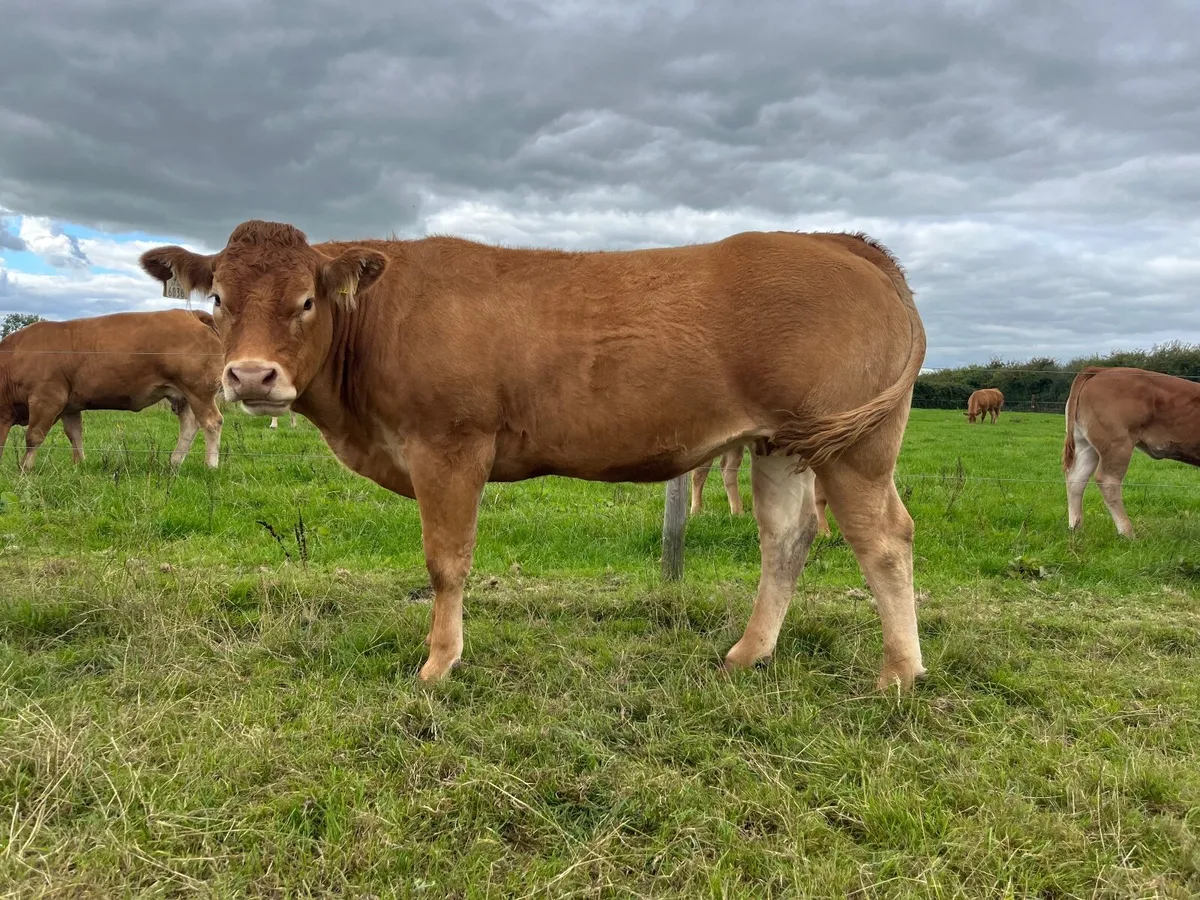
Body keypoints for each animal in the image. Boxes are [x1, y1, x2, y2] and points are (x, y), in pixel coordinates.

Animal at [0, 309, 224, 471]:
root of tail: (191, 313)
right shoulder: (70, 406)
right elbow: (74, 434)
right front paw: (79, 464)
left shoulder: (47, 399)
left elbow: (34, 436)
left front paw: (25, 467)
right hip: (182, 395)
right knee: (189, 425)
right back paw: (175, 462)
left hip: (199, 390)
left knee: (212, 422)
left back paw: (211, 466)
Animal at [140, 220, 928, 690]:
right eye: (219, 299)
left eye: (306, 300)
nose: (250, 378)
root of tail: (839, 241)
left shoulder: (450, 445)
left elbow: (446, 562)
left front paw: (439, 663)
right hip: (782, 445)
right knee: (787, 537)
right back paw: (748, 652)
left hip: (855, 444)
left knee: (884, 538)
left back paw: (899, 672)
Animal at [1063, 366, 1200, 538]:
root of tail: (1102, 369)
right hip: (1118, 443)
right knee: (1108, 481)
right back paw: (1128, 533)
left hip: (1086, 444)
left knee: (1076, 479)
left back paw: (1075, 527)